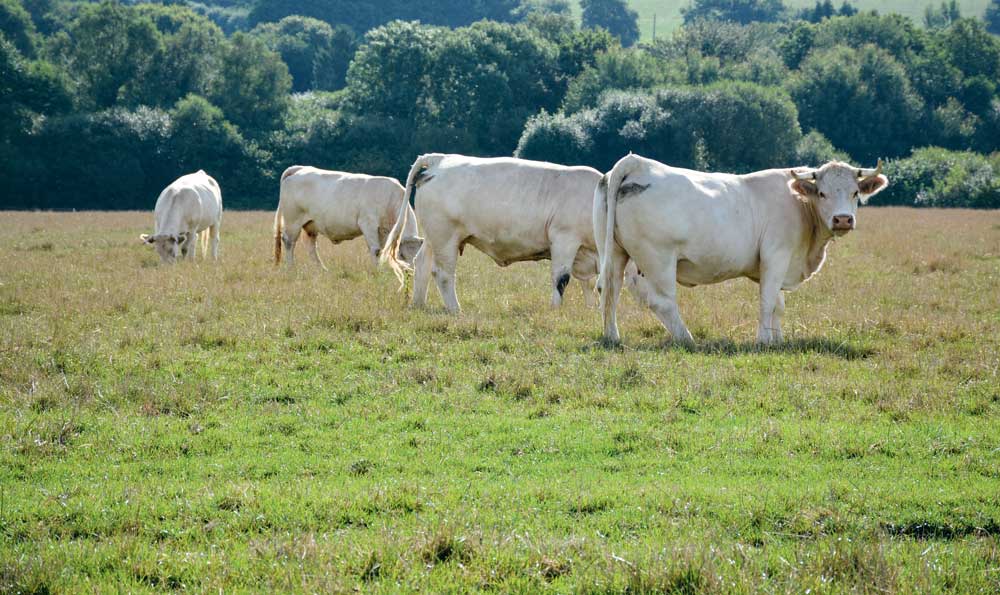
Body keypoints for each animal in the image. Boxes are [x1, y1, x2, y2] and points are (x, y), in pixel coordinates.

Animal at [272, 168, 416, 270]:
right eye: (403, 255)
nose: (411, 272)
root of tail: (300, 168)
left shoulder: (384, 231)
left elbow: (384, 250)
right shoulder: (368, 223)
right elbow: (376, 250)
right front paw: (378, 271)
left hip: (311, 224)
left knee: (311, 246)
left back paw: (322, 269)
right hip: (293, 220)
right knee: (289, 241)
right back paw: (291, 268)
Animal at [382, 152, 600, 312]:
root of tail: (440, 159)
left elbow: (590, 284)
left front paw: (591, 310)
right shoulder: (565, 239)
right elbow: (561, 279)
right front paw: (555, 310)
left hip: (432, 237)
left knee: (422, 265)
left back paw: (418, 305)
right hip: (445, 237)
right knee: (443, 273)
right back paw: (455, 310)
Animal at [596, 156, 888, 346]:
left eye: (854, 193)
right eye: (822, 193)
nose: (843, 219)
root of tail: (637, 162)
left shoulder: (779, 265)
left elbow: (779, 305)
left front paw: (778, 340)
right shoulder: (776, 256)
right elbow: (768, 301)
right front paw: (763, 341)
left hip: (614, 254)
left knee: (610, 291)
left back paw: (612, 336)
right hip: (659, 259)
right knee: (662, 302)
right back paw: (687, 339)